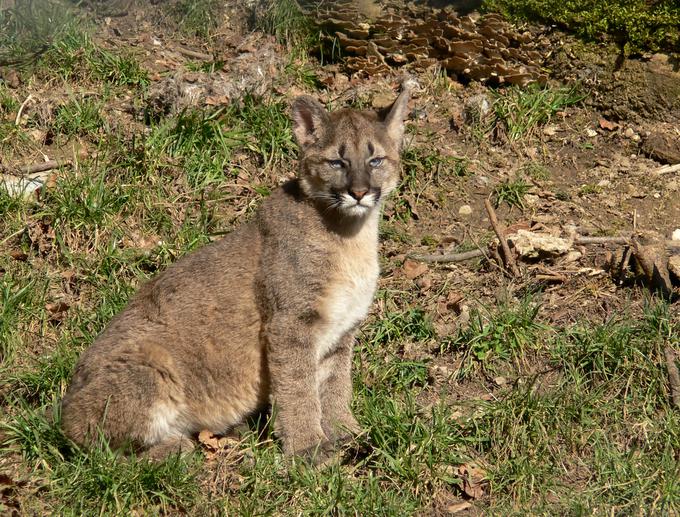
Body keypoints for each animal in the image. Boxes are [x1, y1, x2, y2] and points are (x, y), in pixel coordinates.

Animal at [62, 81, 414, 464]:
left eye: (375, 160)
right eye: (337, 161)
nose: (359, 192)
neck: (351, 234)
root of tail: (60, 408)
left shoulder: (342, 329)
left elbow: (335, 384)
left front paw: (348, 432)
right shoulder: (291, 323)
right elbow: (299, 388)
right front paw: (308, 448)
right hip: (150, 365)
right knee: (97, 451)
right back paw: (179, 448)